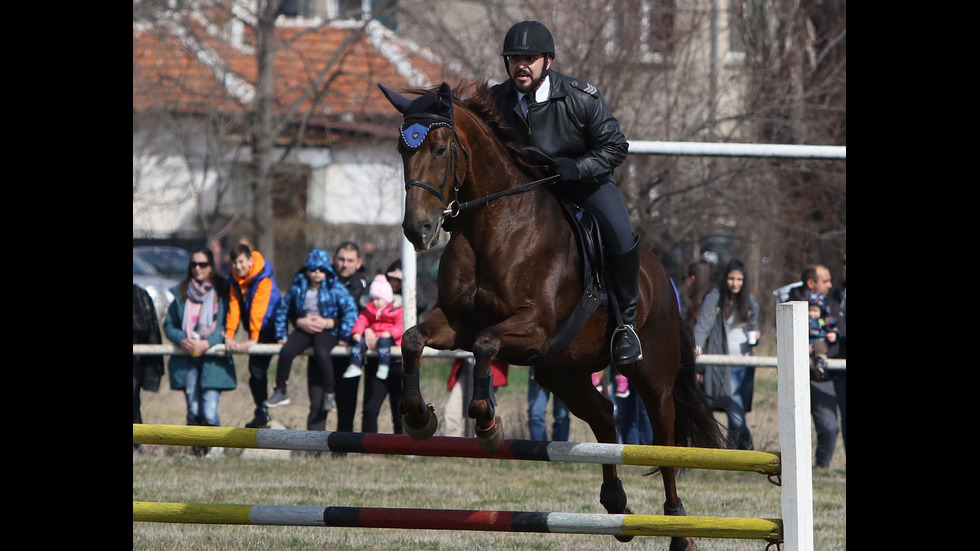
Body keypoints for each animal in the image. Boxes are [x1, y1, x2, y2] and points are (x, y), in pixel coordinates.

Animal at [378, 78, 724, 551]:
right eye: (401, 149)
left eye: (440, 148)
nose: (418, 229)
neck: (492, 224)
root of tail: (664, 281)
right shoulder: (454, 322)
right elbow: (413, 339)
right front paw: (417, 417)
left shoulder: (534, 328)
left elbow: (485, 345)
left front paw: (487, 425)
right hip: (562, 372)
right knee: (604, 415)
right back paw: (615, 501)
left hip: (652, 374)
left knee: (665, 440)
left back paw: (678, 529)